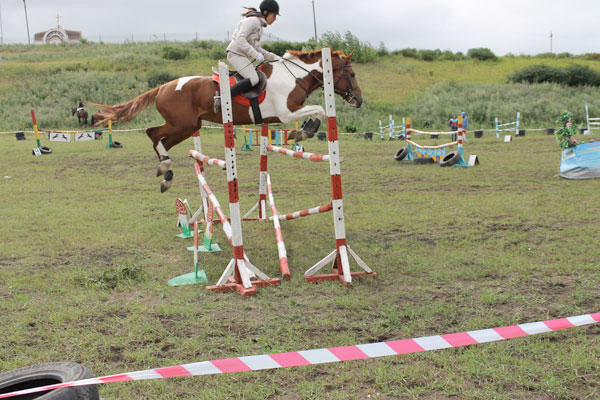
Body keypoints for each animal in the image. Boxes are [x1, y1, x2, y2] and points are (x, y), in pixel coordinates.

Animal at [92, 48, 360, 192]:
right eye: (352, 73)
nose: (359, 100)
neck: (293, 77)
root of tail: (163, 87)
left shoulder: (286, 113)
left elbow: (317, 112)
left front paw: (303, 131)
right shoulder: (286, 112)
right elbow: (320, 110)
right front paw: (303, 131)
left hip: (190, 126)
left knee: (161, 140)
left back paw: (166, 174)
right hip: (183, 124)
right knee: (153, 133)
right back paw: (165, 169)